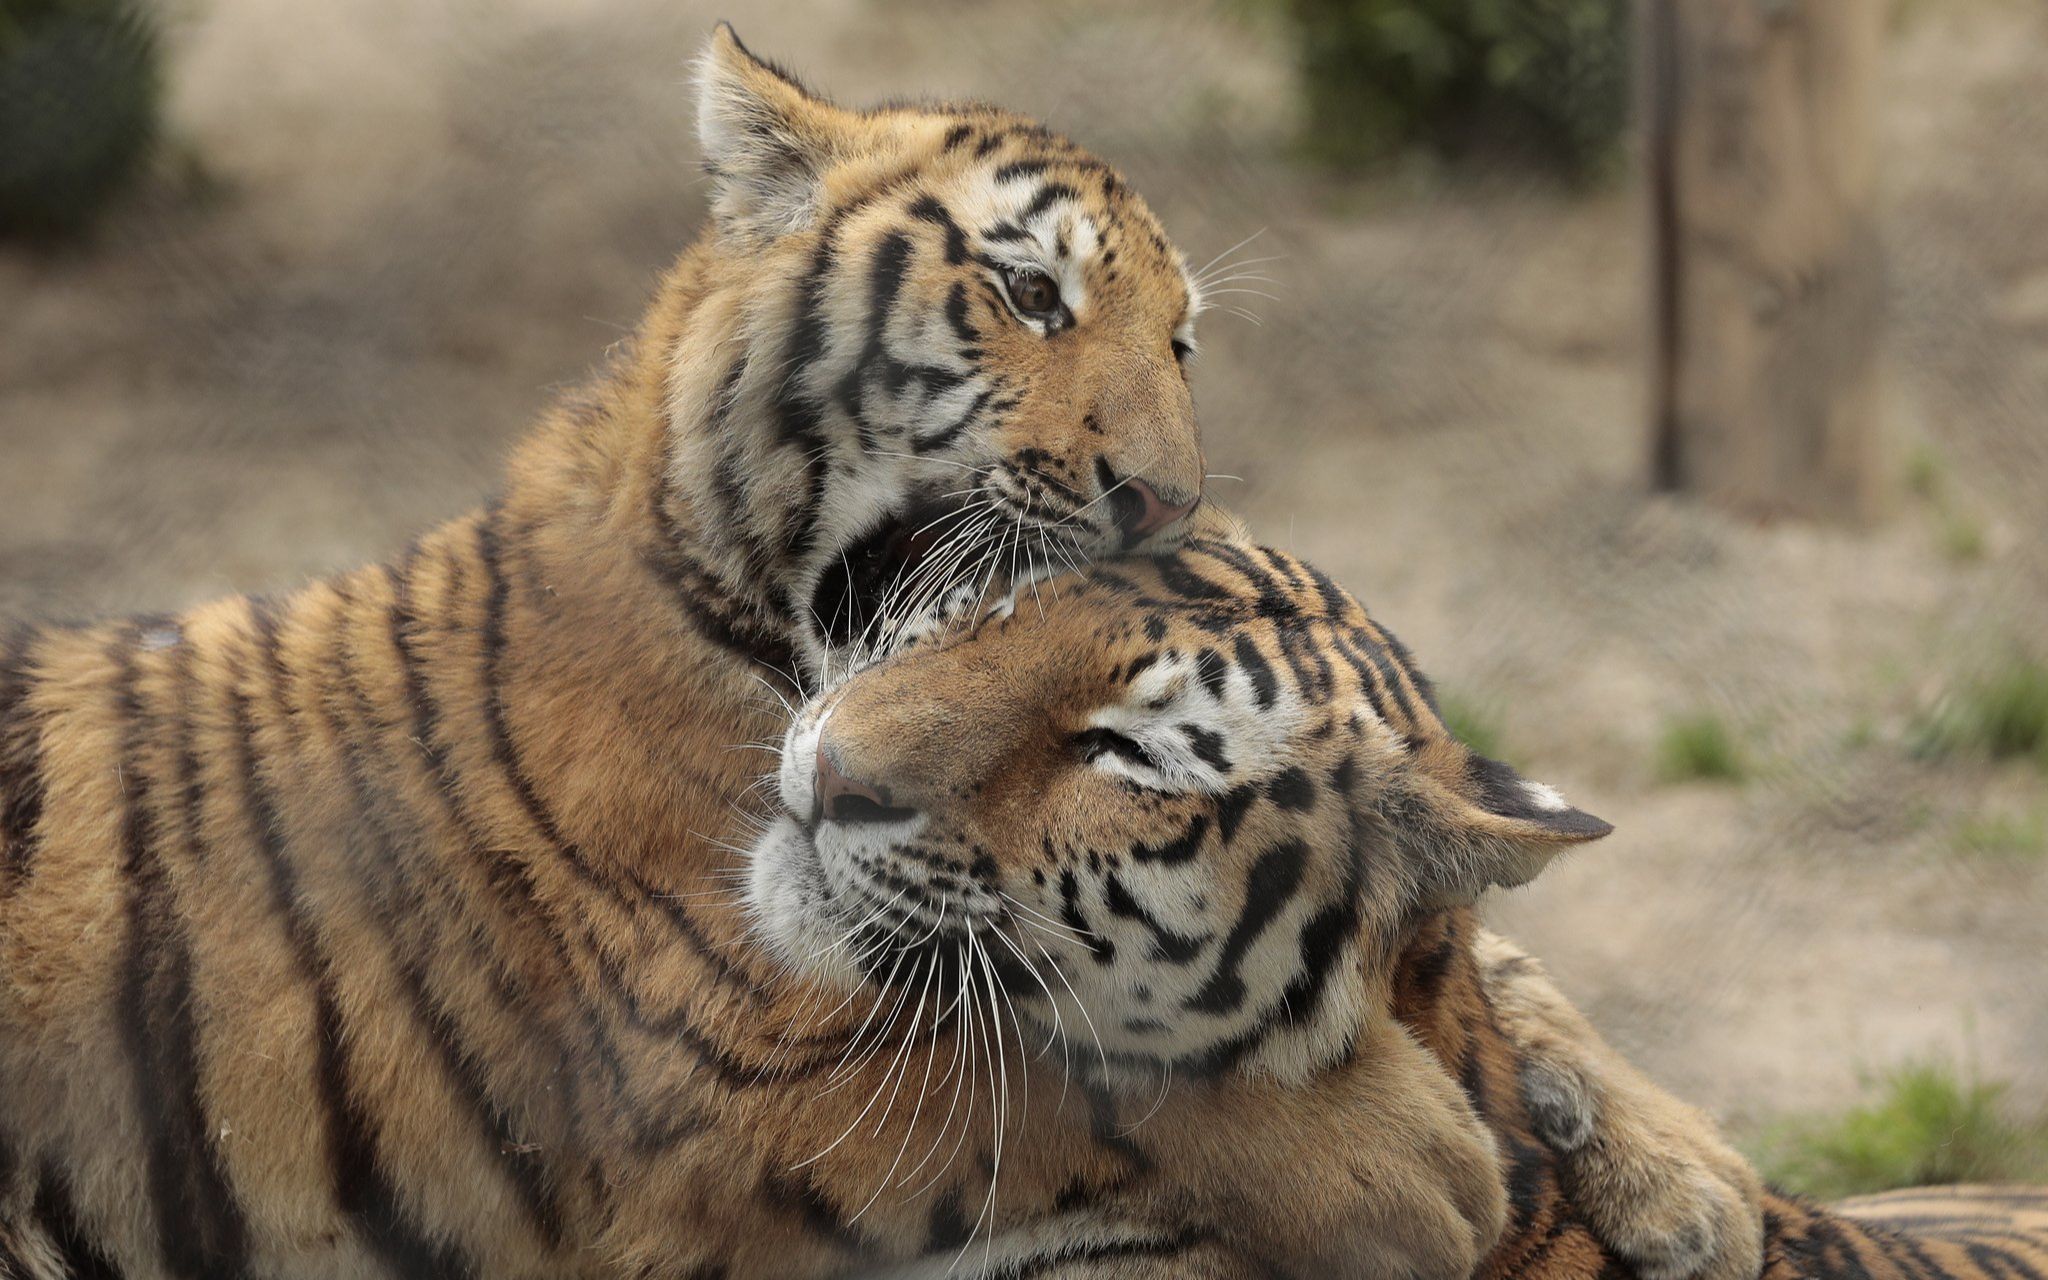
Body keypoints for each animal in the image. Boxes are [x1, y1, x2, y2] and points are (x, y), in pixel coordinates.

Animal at [0, 24, 1756, 1280]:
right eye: (1032, 293)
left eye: (1181, 340)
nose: (1166, 494)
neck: (732, 608)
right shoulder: (689, 1073)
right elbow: (1041, 1087)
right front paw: (1420, 1161)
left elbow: (1500, 946)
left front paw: (1695, 1178)